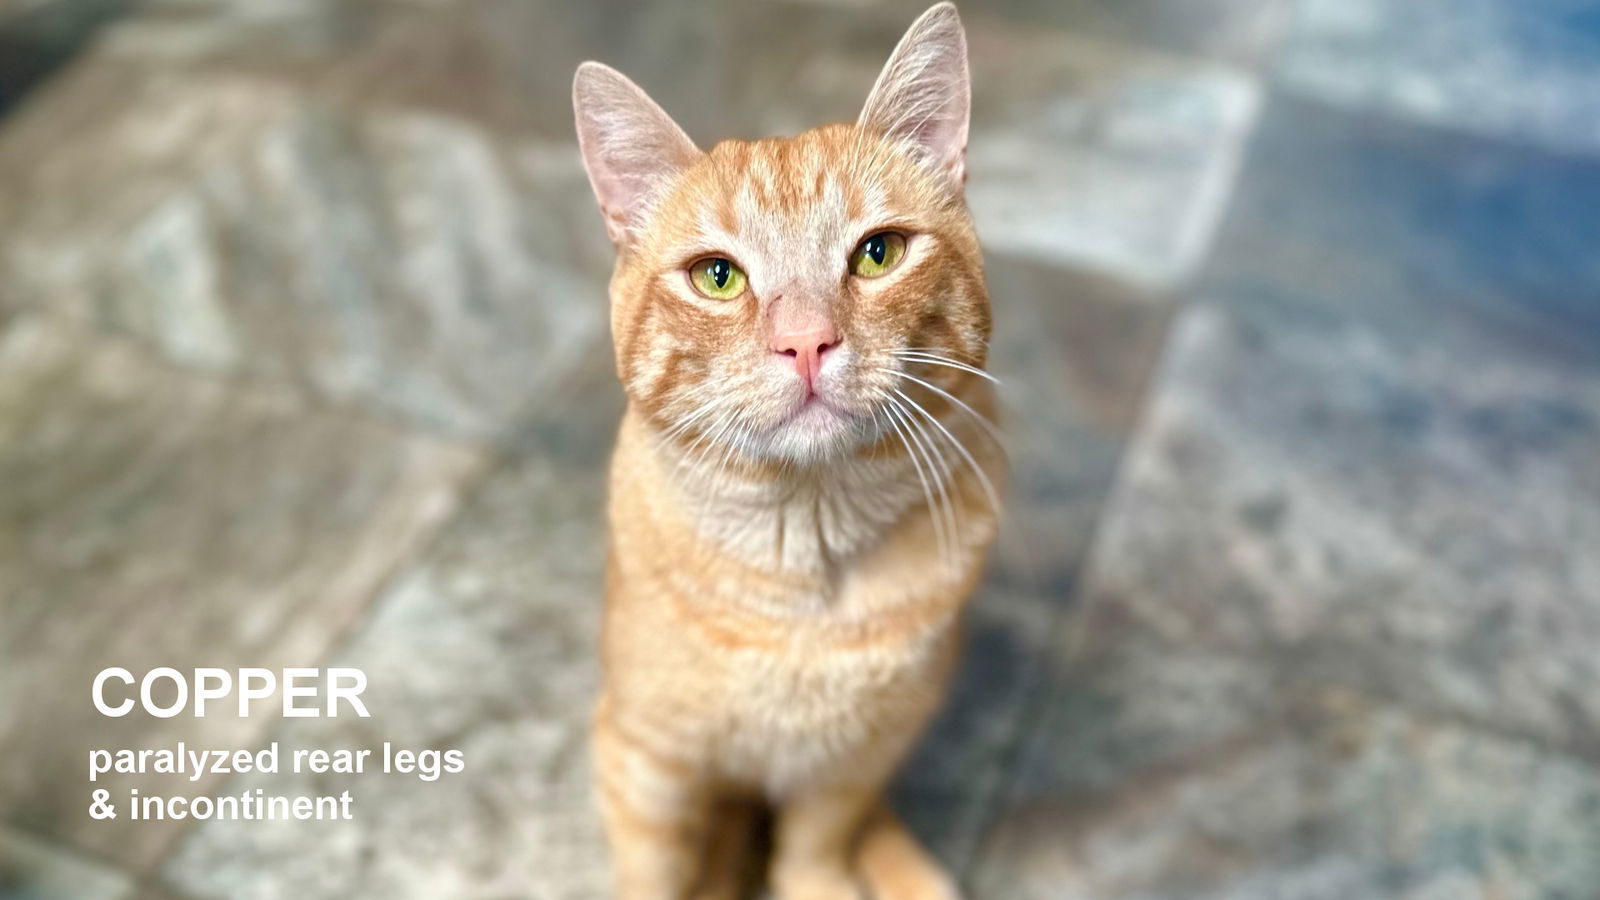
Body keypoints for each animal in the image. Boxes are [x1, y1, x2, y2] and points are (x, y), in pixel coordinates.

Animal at [576, 5, 998, 890]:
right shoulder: (646, 757)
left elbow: (816, 844)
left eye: (878, 253)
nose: (806, 342)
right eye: (718, 276)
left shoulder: (853, 759)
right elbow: (657, 872)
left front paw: (820, 882)